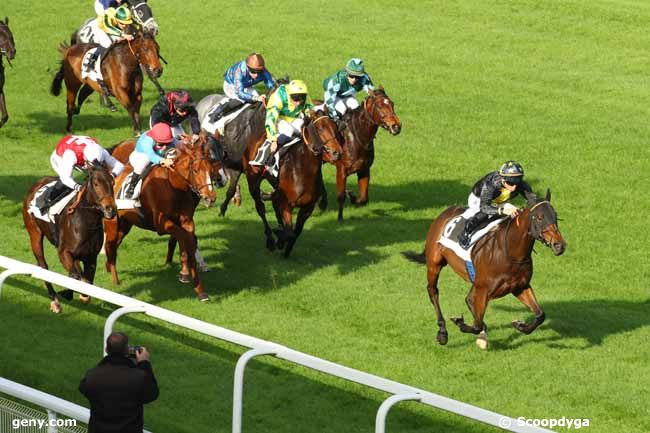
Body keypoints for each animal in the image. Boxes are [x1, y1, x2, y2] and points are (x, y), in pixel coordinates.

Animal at [21, 162, 117, 314]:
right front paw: (65, 293)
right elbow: (76, 277)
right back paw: (54, 300)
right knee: (43, 266)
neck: (86, 222)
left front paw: (78, 294)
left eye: (112, 182)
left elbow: (86, 283)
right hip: (34, 234)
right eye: (96, 183)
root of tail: (36, 184)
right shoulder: (63, 252)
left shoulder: (91, 257)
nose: (110, 209)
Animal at [102, 138, 216, 300]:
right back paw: (115, 281)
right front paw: (184, 272)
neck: (174, 187)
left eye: (211, 170)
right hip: (112, 224)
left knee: (114, 246)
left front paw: (199, 290)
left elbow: (189, 241)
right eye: (195, 170)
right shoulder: (161, 224)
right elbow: (183, 237)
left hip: (124, 226)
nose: (210, 198)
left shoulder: (187, 221)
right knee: (110, 246)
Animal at [244, 109, 344, 256]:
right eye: (319, 128)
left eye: (335, 127)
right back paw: (270, 239)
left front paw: (286, 249)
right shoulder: (287, 203)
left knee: (274, 203)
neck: (302, 170)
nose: (337, 153)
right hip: (253, 181)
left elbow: (295, 232)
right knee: (260, 208)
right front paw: (279, 239)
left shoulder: (308, 207)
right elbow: (289, 231)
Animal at [318, 88, 400, 223]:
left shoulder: (364, 169)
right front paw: (340, 218)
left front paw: (352, 196)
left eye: (392, 104)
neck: (357, 136)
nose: (396, 126)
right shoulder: (341, 170)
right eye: (380, 106)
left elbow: (363, 198)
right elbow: (341, 196)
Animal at [402, 191, 564, 350]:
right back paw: (442, 332)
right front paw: (461, 323)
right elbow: (476, 324)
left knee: (468, 299)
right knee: (433, 291)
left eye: (555, 216)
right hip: (434, 264)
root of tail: (445, 213)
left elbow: (540, 315)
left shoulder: (520, 287)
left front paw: (520, 325)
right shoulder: (483, 289)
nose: (559, 245)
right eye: (540, 217)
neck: (510, 251)